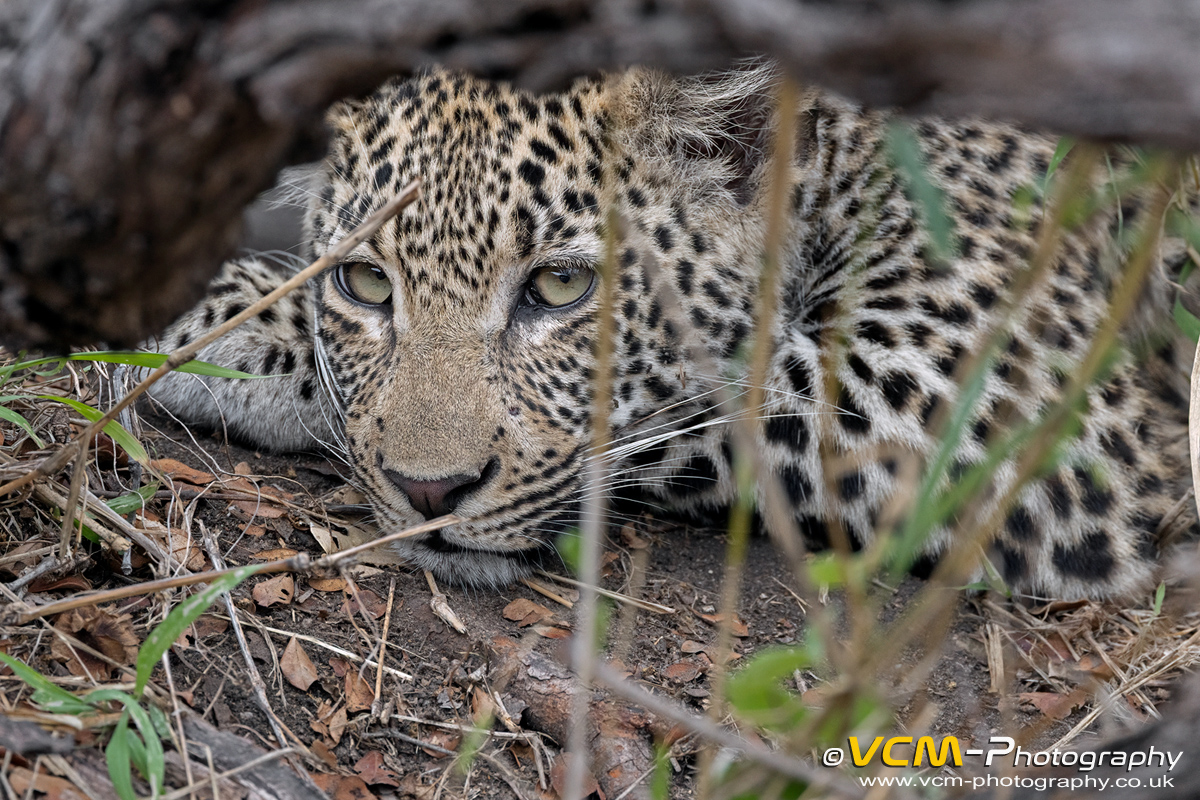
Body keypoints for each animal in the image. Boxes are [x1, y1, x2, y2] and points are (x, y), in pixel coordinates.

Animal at [143, 62, 1197, 601]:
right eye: (365, 283)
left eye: (561, 286)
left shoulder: (1028, 407)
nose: (428, 493)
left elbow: (712, 403)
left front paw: (213, 334)